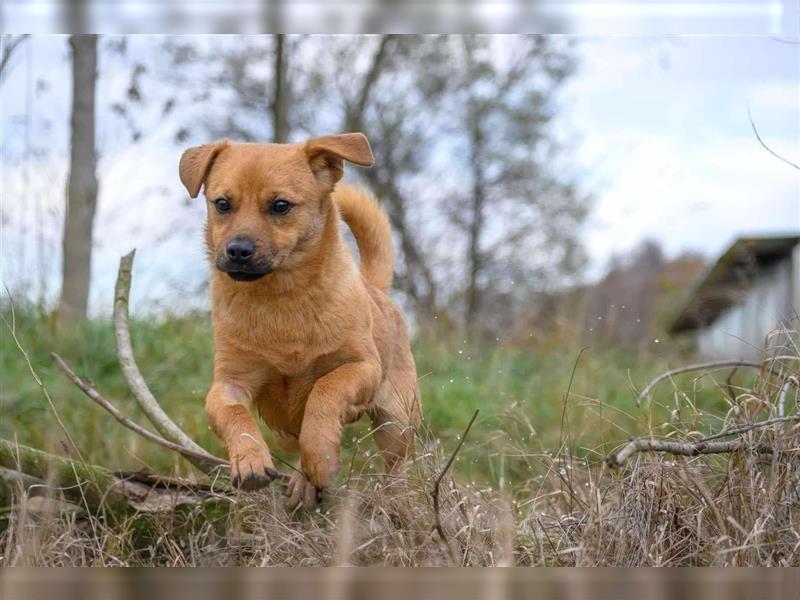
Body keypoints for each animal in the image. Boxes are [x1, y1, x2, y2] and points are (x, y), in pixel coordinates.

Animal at [178, 134, 422, 508]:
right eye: (222, 204)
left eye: (280, 205)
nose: (237, 250)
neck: (281, 300)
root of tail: (374, 288)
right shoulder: (229, 384)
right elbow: (234, 415)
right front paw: (250, 460)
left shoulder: (362, 366)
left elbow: (325, 390)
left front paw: (321, 456)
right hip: (283, 429)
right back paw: (301, 482)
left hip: (396, 418)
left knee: (395, 464)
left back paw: (392, 498)